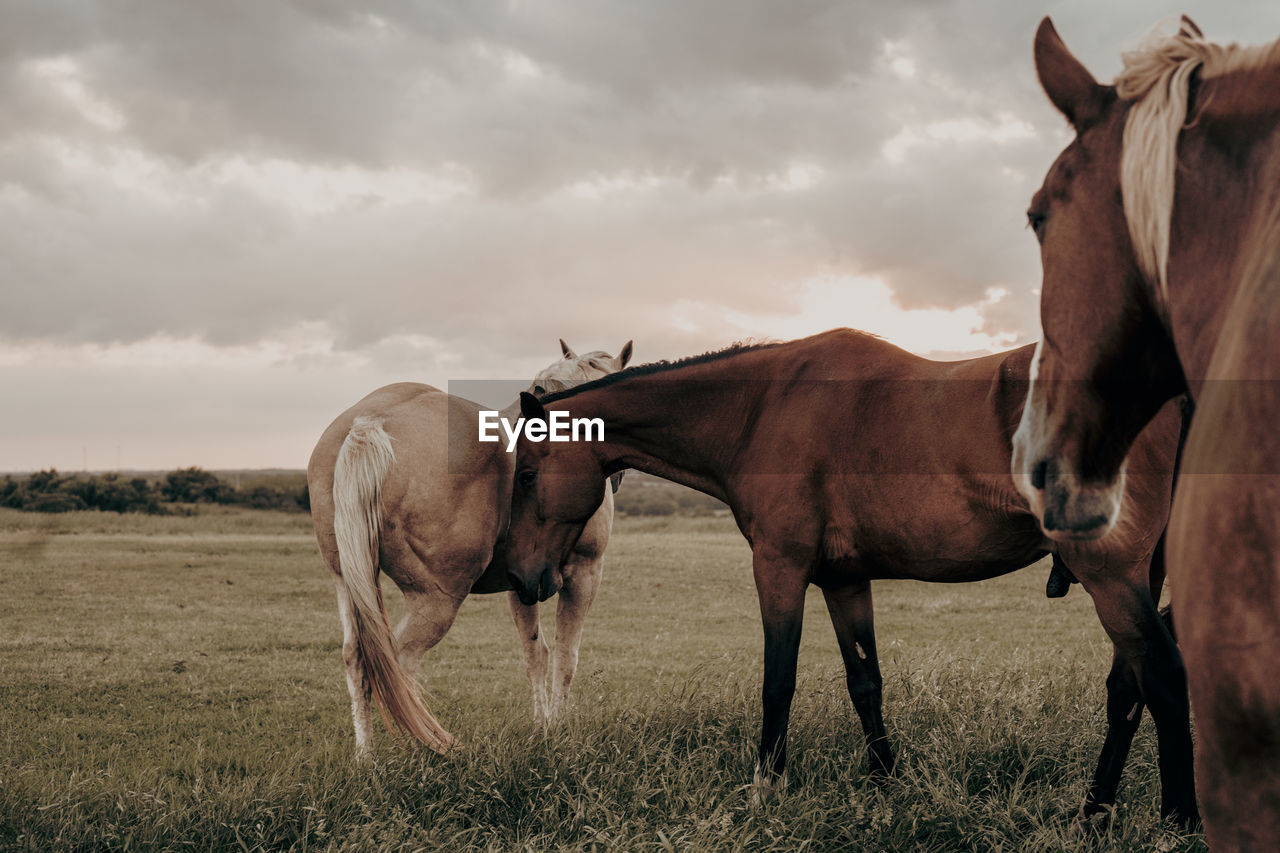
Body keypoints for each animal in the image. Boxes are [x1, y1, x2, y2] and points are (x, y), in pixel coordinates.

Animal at [305, 338, 634, 753]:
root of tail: (370, 422)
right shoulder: (583, 574)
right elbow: (565, 656)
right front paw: (558, 731)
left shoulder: (522, 583)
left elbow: (535, 654)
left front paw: (543, 730)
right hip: (436, 599)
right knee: (397, 667)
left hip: (347, 581)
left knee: (357, 658)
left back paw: (366, 756)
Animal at [501, 327, 1198, 819]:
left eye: (529, 473)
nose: (525, 577)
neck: (759, 408)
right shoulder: (843, 581)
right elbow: (866, 683)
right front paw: (886, 785)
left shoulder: (779, 568)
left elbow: (777, 682)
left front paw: (766, 789)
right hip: (1135, 579)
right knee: (1128, 689)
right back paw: (1092, 814)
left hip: (1112, 577)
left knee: (1163, 678)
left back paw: (1178, 818)